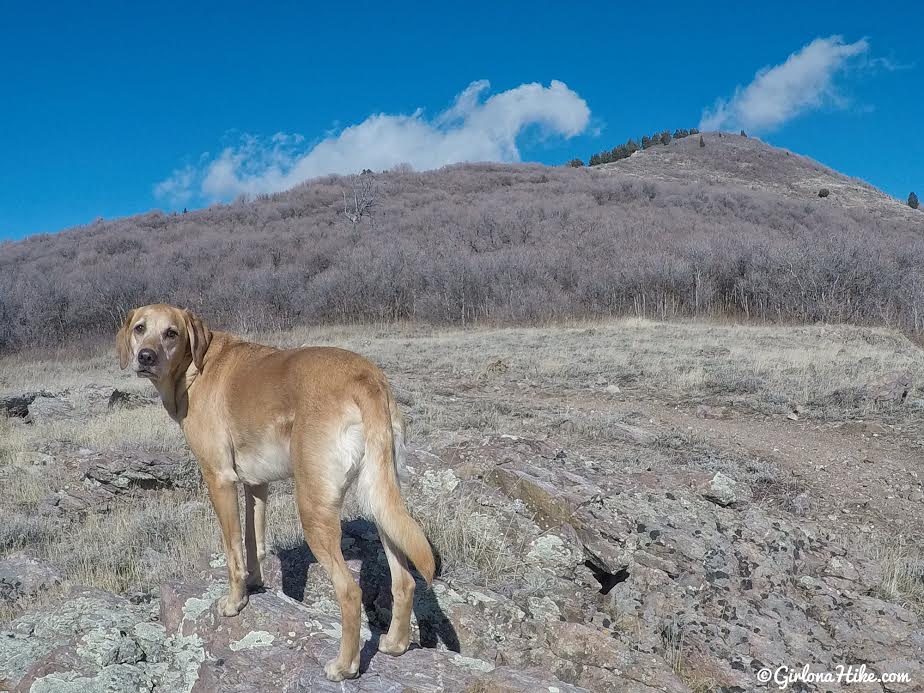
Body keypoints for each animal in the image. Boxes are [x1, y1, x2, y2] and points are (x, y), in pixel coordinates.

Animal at [114, 304, 434, 680]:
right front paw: (254, 583)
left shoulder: (219, 479)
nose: (145, 357)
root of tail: (365, 378)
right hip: (380, 500)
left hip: (314, 508)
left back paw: (345, 665)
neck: (195, 366)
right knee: (405, 581)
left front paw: (234, 602)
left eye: (171, 333)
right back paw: (396, 644)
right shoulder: (256, 484)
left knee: (350, 592)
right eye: (140, 328)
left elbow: (233, 551)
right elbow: (254, 543)